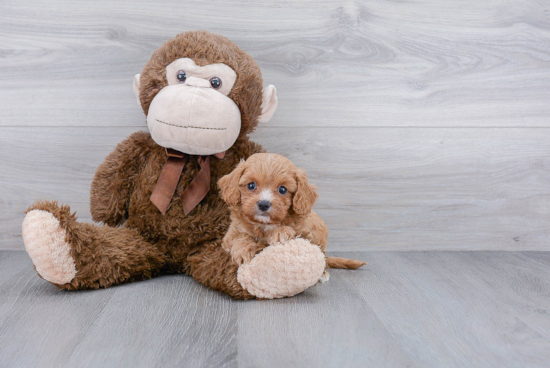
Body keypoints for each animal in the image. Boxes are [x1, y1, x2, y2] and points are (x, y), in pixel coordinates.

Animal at [218, 152, 368, 270]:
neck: (265, 225)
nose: (263, 204)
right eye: (251, 185)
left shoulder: (306, 232)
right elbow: (241, 236)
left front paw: (280, 232)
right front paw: (242, 251)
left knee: (323, 258)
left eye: (282, 189)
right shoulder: (231, 234)